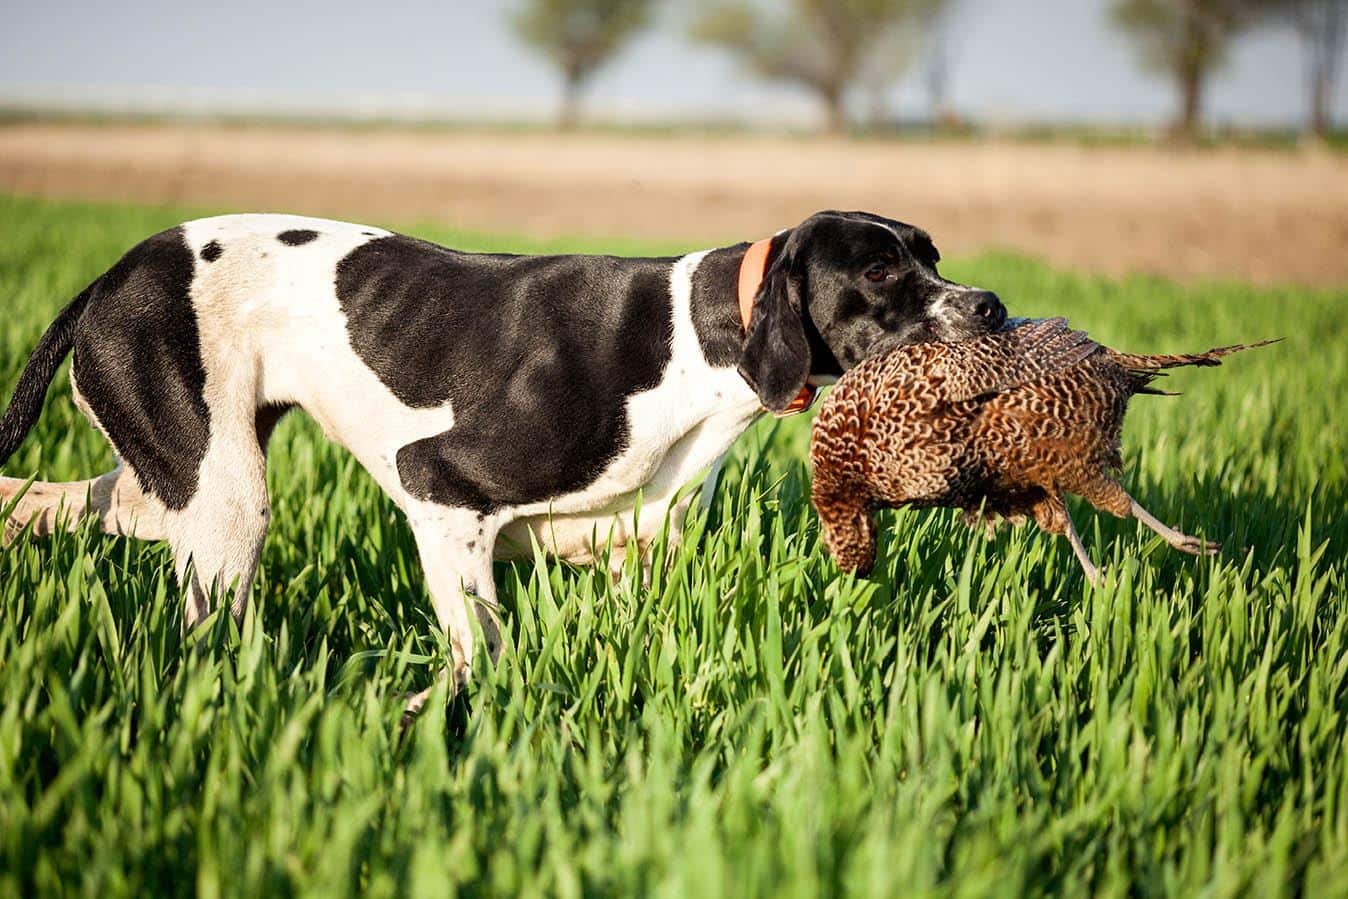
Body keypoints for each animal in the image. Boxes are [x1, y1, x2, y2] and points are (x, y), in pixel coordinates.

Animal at [0, 207, 1008, 706]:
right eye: (880, 271)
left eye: (933, 254)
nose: (993, 304)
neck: (695, 338)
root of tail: (105, 280)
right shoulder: (441, 490)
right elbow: (480, 653)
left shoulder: (636, 555)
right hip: (226, 503)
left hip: (178, 476)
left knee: (70, 500)